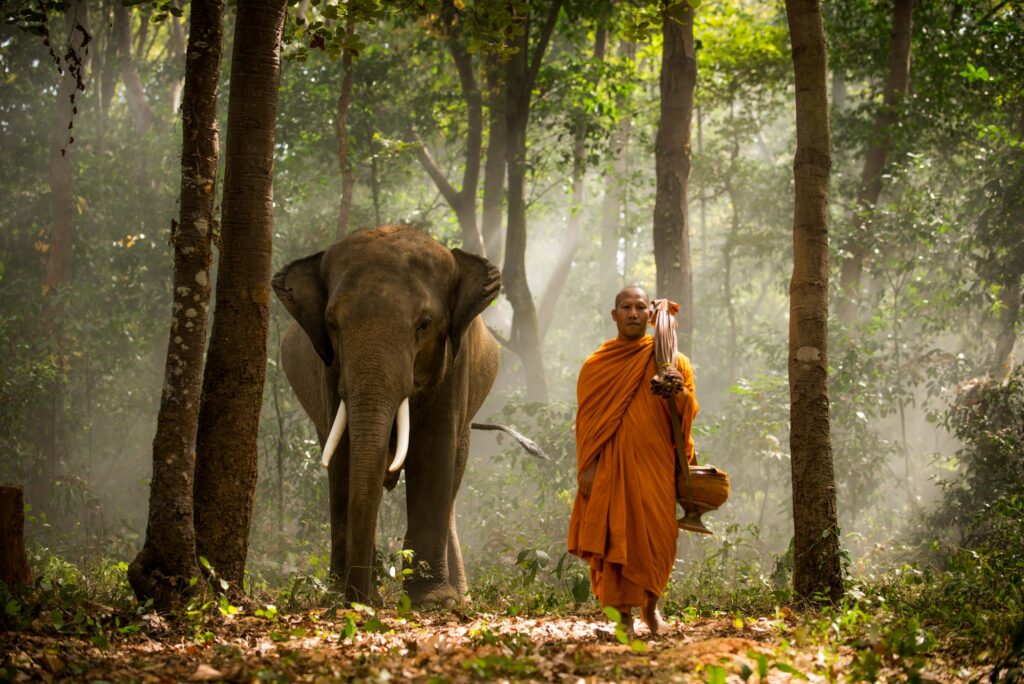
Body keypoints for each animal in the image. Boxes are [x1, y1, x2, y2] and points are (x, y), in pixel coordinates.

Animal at [270, 224, 497, 602]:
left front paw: (432, 601)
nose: (361, 597)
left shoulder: (456, 360)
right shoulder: (330, 366)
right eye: (332, 324)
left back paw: (458, 594)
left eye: (424, 325)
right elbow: (344, 453)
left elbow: (434, 451)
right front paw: (348, 595)